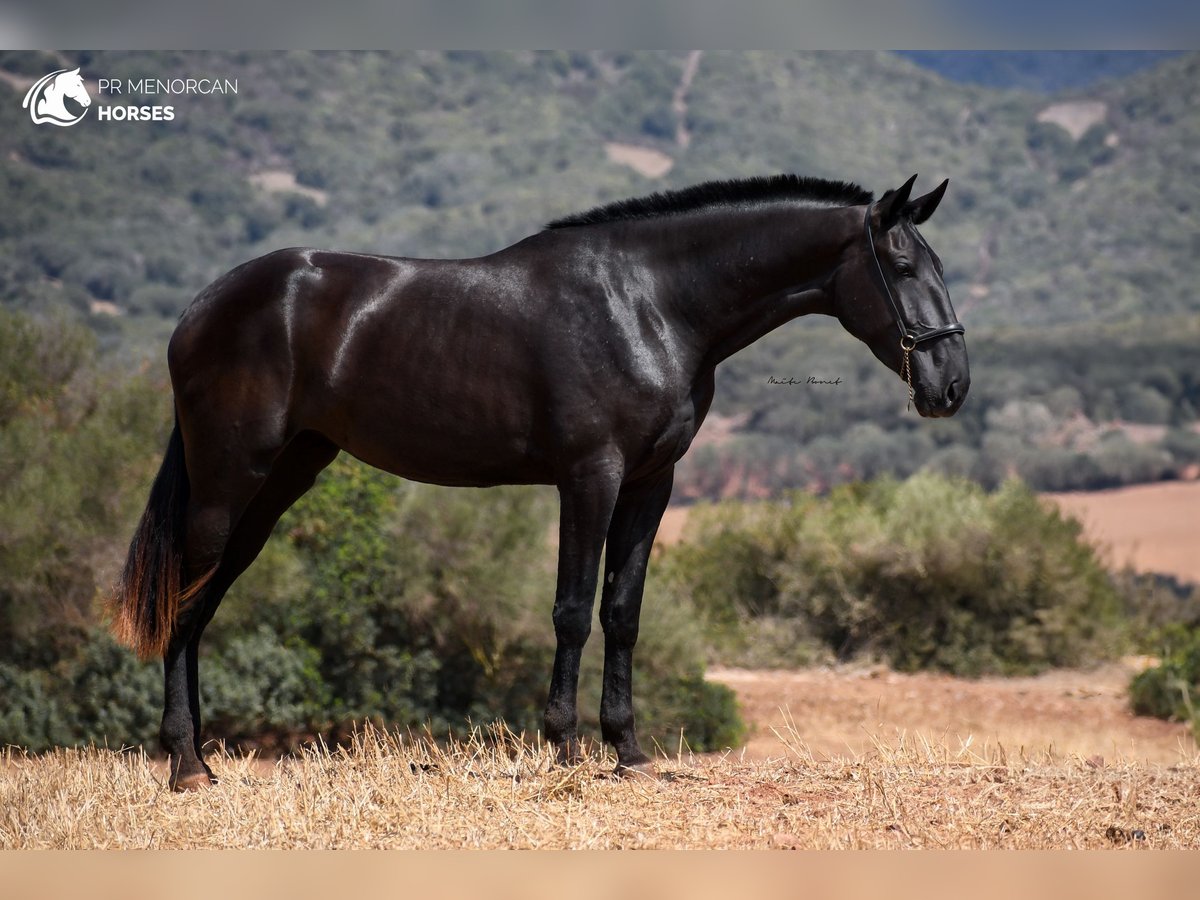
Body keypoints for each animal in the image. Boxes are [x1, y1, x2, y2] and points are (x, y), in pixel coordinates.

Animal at [112, 172, 969, 792]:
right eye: (901, 266)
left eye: (941, 266)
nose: (951, 385)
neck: (650, 303)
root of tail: (199, 310)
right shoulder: (590, 476)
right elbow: (571, 612)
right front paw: (563, 746)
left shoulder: (652, 483)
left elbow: (622, 613)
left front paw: (628, 750)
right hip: (230, 479)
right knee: (185, 601)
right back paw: (185, 767)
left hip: (283, 478)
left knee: (201, 604)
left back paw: (200, 761)